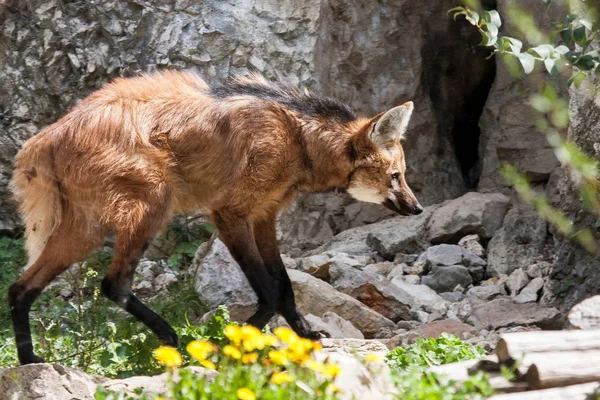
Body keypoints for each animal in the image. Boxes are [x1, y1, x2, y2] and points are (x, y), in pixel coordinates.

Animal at [8, 70, 422, 364]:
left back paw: (30, 362)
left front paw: (306, 336)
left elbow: (284, 286)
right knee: (114, 284)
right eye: (395, 176)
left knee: (20, 288)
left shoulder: (264, 214)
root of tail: (47, 136)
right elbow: (270, 290)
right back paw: (171, 338)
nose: (417, 208)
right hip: (153, 202)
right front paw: (233, 341)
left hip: (86, 228)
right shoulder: (230, 213)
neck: (299, 141)